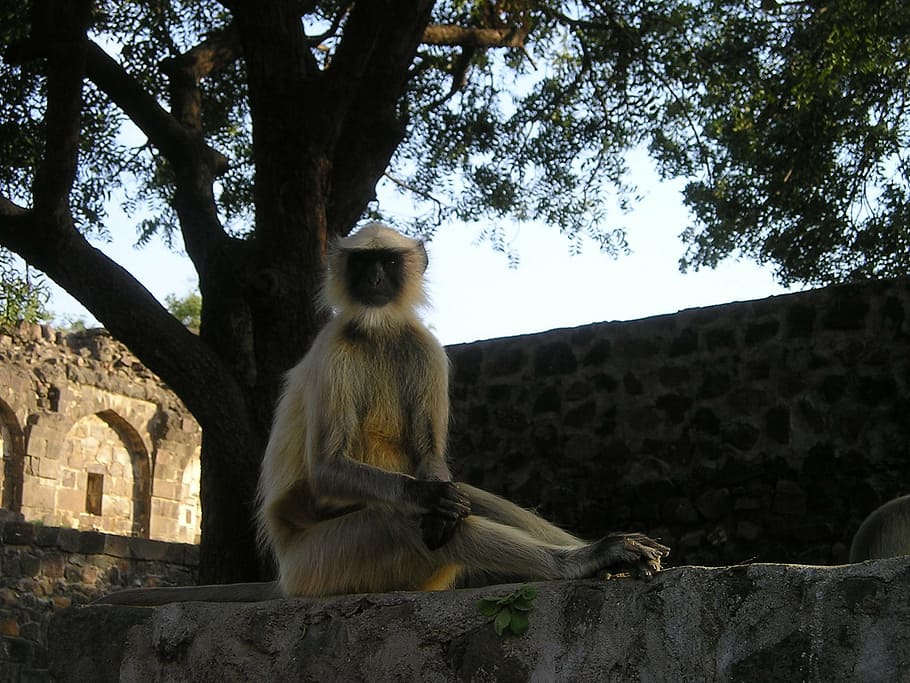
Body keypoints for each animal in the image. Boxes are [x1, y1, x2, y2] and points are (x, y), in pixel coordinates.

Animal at [255, 222, 669, 598]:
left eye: (388, 261)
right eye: (362, 262)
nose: (373, 277)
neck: (379, 330)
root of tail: (286, 574)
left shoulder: (425, 346)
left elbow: (430, 456)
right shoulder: (332, 350)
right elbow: (329, 468)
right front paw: (428, 498)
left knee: (465, 498)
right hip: (319, 566)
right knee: (400, 521)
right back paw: (578, 561)